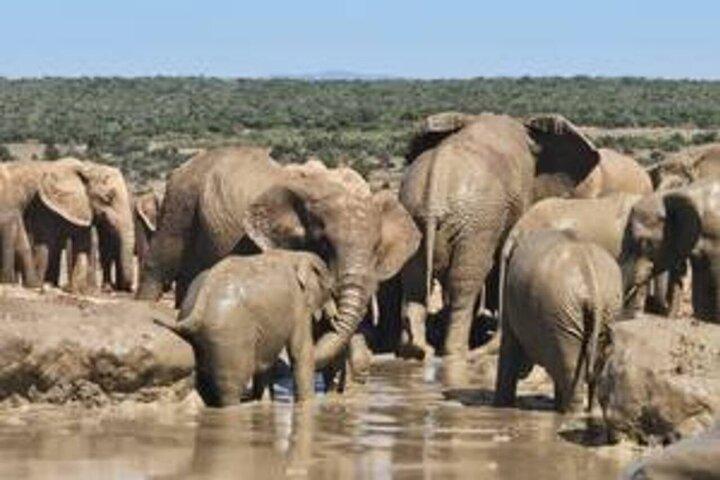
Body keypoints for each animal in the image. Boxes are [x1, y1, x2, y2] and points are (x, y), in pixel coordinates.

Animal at [155, 250, 333, 406]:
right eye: (330, 290)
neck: (296, 254)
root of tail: (198, 308)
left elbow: (267, 359)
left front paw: (264, 402)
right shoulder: (299, 303)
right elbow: (300, 350)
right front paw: (309, 405)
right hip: (229, 335)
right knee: (232, 387)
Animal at [399, 112, 601, 386]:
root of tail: (434, 192)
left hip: (415, 215)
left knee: (415, 282)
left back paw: (416, 351)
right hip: (476, 221)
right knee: (466, 280)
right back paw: (456, 353)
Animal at [494, 229, 622, 412]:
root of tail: (591, 280)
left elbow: (509, 343)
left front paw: (500, 406)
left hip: (561, 309)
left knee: (569, 365)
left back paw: (570, 411)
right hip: (607, 308)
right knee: (592, 362)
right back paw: (587, 410)